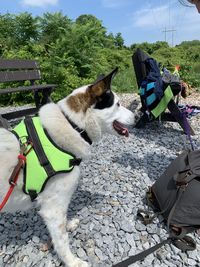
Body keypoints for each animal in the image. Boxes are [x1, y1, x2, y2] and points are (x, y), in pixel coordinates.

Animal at [0, 67, 136, 267]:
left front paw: (69, 224)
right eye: (117, 104)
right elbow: (62, 241)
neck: (72, 125)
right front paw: (72, 261)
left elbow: (62, 226)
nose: (138, 116)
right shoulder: (53, 209)